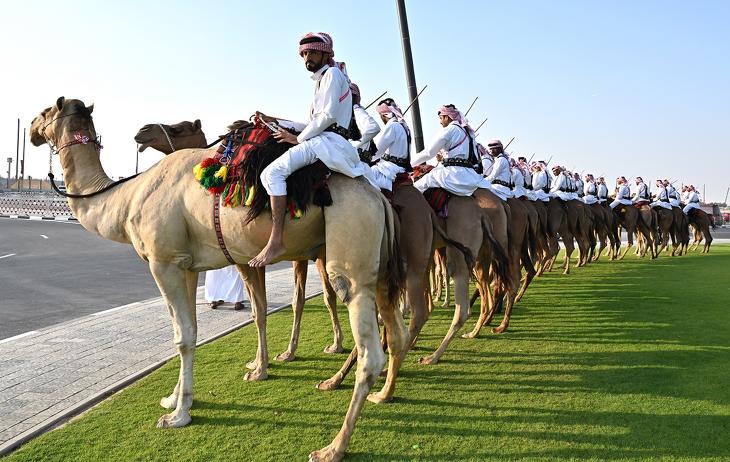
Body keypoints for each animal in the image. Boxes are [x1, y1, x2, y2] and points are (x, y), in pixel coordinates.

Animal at [32, 97, 410, 462]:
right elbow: (192, 332)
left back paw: (333, 446)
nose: (34, 129)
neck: (126, 197)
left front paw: (177, 415)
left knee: (368, 346)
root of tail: (379, 199)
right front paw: (175, 399)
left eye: (45, 111)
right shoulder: (185, 265)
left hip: (350, 248)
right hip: (378, 269)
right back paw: (380, 394)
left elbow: (182, 337)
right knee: (397, 331)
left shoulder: (163, 262)